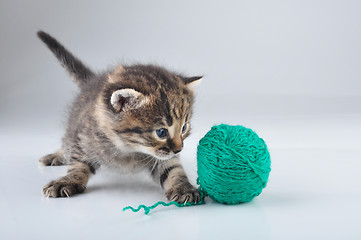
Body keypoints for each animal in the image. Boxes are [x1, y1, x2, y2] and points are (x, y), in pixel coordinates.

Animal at [38, 29, 204, 202]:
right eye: (161, 132)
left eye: (184, 128)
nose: (179, 150)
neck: (129, 149)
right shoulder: (83, 138)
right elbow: (78, 163)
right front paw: (67, 181)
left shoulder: (164, 158)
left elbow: (173, 169)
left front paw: (183, 187)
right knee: (67, 142)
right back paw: (57, 155)